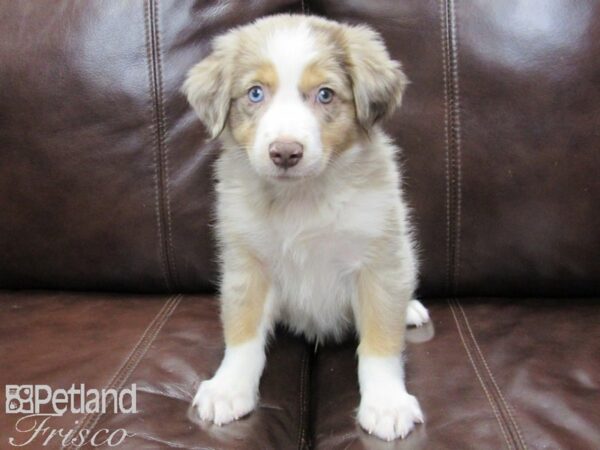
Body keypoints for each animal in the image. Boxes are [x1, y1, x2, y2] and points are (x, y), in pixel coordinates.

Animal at [182, 14, 426, 442]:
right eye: (255, 93)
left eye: (325, 94)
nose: (284, 153)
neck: (302, 199)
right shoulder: (247, 264)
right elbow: (242, 332)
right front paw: (229, 387)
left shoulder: (378, 261)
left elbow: (380, 340)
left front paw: (386, 403)